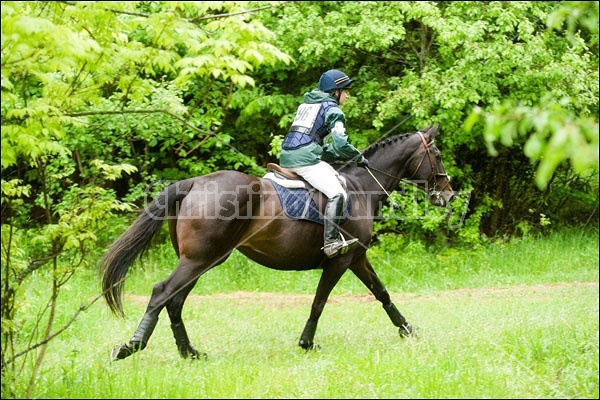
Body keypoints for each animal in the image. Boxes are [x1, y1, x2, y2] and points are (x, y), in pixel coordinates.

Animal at [101, 122, 452, 360]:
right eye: (436, 155)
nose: (448, 195)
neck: (361, 187)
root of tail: (194, 183)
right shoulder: (340, 260)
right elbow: (319, 301)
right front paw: (306, 343)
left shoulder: (357, 257)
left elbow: (381, 292)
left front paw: (408, 329)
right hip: (199, 260)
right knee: (162, 293)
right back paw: (132, 345)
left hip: (203, 260)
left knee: (174, 300)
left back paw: (190, 352)